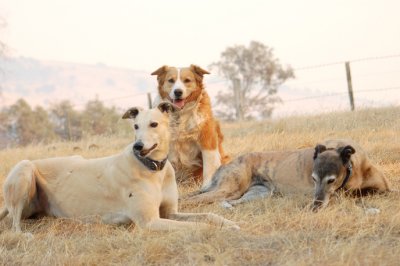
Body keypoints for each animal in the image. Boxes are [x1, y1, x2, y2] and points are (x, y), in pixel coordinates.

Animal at [0, 103, 238, 234]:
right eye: (135, 126)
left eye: (154, 124)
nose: (138, 146)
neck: (153, 169)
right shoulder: (150, 222)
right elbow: (199, 226)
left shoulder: (171, 212)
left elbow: (209, 216)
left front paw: (231, 224)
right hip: (24, 170)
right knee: (14, 227)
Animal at [183, 138, 392, 211]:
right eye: (313, 179)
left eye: (331, 180)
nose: (314, 207)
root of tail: (225, 165)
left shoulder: (386, 190)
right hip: (229, 189)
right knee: (193, 200)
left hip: (258, 194)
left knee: (228, 202)